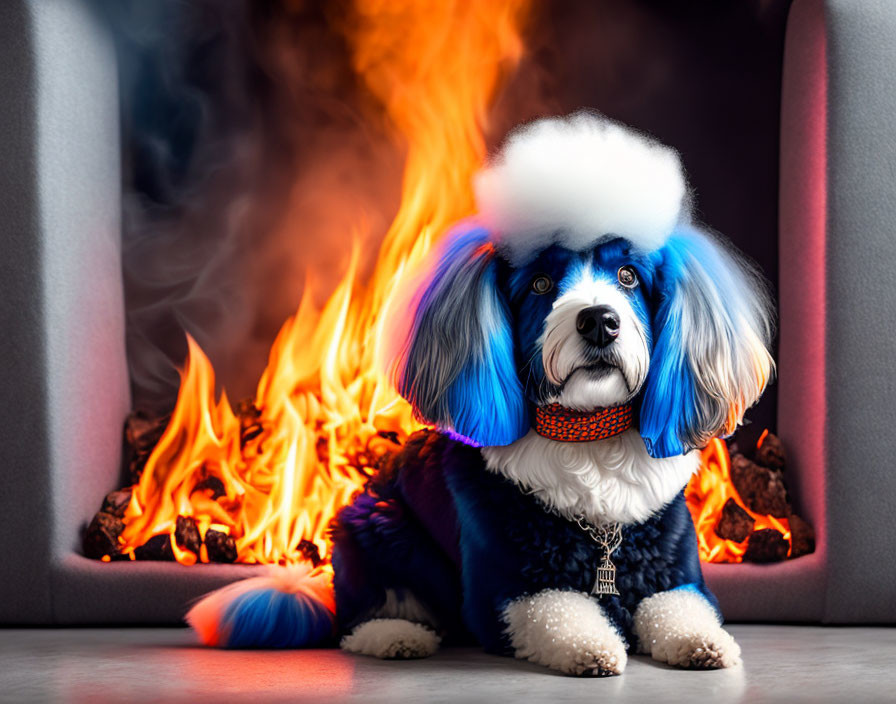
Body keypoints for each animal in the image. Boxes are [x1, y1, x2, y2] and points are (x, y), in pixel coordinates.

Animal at [191, 114, 776, 676]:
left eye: (629, 276)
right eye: (540, 285)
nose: (599, 320)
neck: (586, 437)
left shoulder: (671, 567)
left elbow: (683, 608)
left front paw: (704, 643)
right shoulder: (506, 586)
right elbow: (557, 611)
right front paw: (593, 647)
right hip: (378, 525)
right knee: (361, 615)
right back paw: (395, 636)